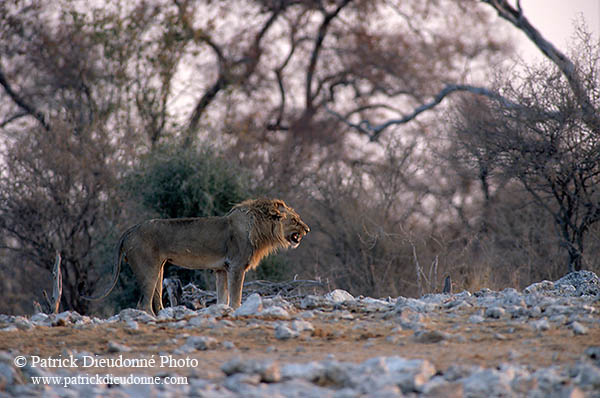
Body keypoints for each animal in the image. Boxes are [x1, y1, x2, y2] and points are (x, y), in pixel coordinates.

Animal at [83, 199, 310, 314]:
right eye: (295, 220)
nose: (307, 229)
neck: (260, 228)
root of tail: (131, 229)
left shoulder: (221, 269)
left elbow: (223, 296)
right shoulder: (236, 266)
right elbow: (236, 295)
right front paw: (237, 310)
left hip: (159, 268)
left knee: (156, 301)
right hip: (148, 269)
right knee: (143, 304)